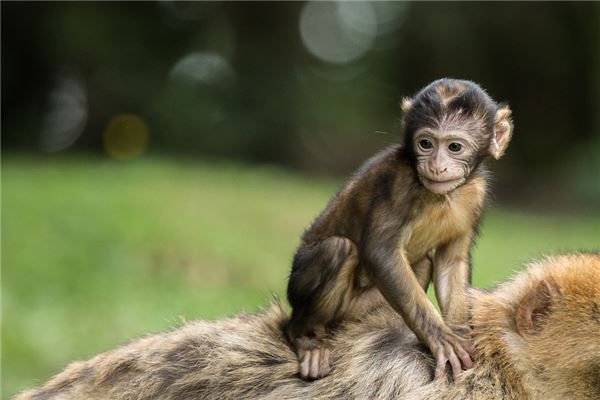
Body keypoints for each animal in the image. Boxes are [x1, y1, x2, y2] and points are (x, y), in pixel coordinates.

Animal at [288, 79, 512, 382]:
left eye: (454, 147)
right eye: (425, 144)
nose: (436, 166)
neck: (441, 196)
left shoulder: (476, 194)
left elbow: (450, 263)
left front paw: (462, 334)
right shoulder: (399, 181)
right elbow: (381, 253)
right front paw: (441, 338)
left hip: (359, 310)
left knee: (424, 262)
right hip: (302, 290)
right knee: (338, 249)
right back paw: (305, 338)